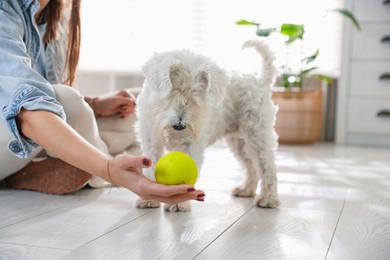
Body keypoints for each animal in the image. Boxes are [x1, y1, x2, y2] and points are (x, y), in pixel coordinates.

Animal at [135, 39, 280, 212]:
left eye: (195, 96)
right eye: (172, 92)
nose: (180, 125)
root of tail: (260, 81)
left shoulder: (191, 146)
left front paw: (179, 202)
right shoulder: (150, 142)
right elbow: (150, 171)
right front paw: (149, 199)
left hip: (257, 135)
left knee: (267, 167)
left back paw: (268, 199)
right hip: (239, 142)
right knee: (251, 166)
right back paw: (246, 190)